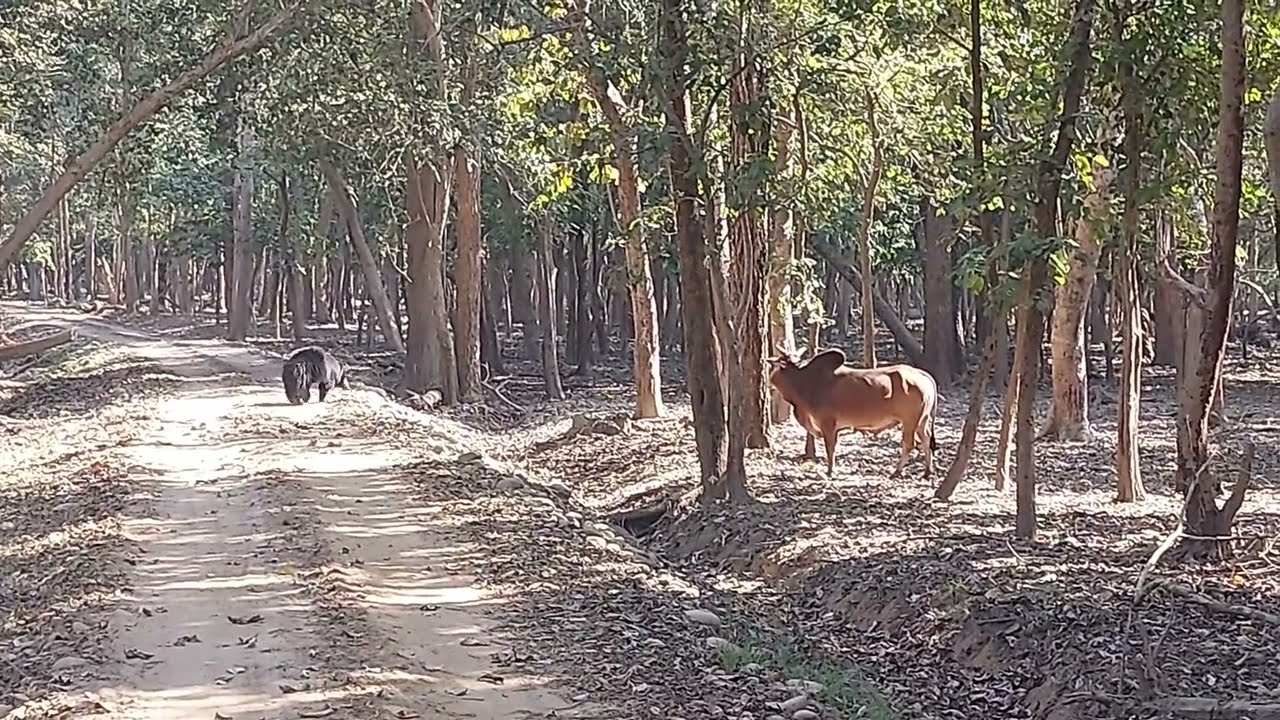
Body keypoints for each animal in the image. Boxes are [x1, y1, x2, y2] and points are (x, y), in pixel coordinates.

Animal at [767, 347, 939, 480]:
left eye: (777, 365)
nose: (769, 381)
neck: (806, 381)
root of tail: (924, 375)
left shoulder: (827, 423)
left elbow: (830, 447)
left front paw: (830, 471)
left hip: (910, 421)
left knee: (909, 444)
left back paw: (897, 471)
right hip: (922, 420)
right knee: (926, 440)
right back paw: (927, 471)